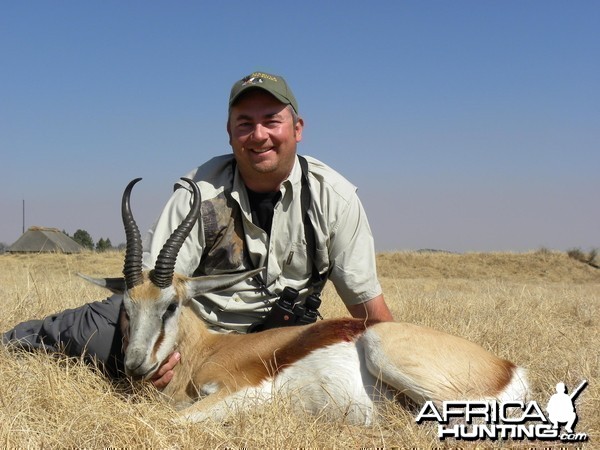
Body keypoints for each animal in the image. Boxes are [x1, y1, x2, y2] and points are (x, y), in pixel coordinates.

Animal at [82, 178, 528, 424]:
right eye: (126, 308)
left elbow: (178, 423)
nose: (135, 364)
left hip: (387, 353)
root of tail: (507, 368)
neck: (207, 351)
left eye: (171, 305)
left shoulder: (240, 392)